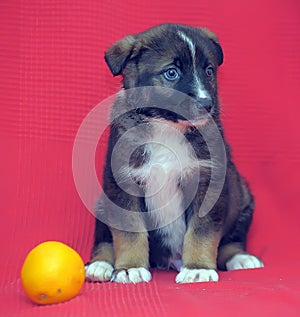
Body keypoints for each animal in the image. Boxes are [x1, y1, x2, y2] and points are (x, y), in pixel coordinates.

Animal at [84, 23, 262, 282]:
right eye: (171, 73)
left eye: (209, 71)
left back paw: (240, 257)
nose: (207, 105)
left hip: (242, 196)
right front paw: (130, 267)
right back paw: (100, 264)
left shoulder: (208, 181)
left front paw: (198, 268)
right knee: (104, 239)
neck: (167, 127)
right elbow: (129, 231)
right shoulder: (122, 183)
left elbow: (201, 231)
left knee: (232, 239)